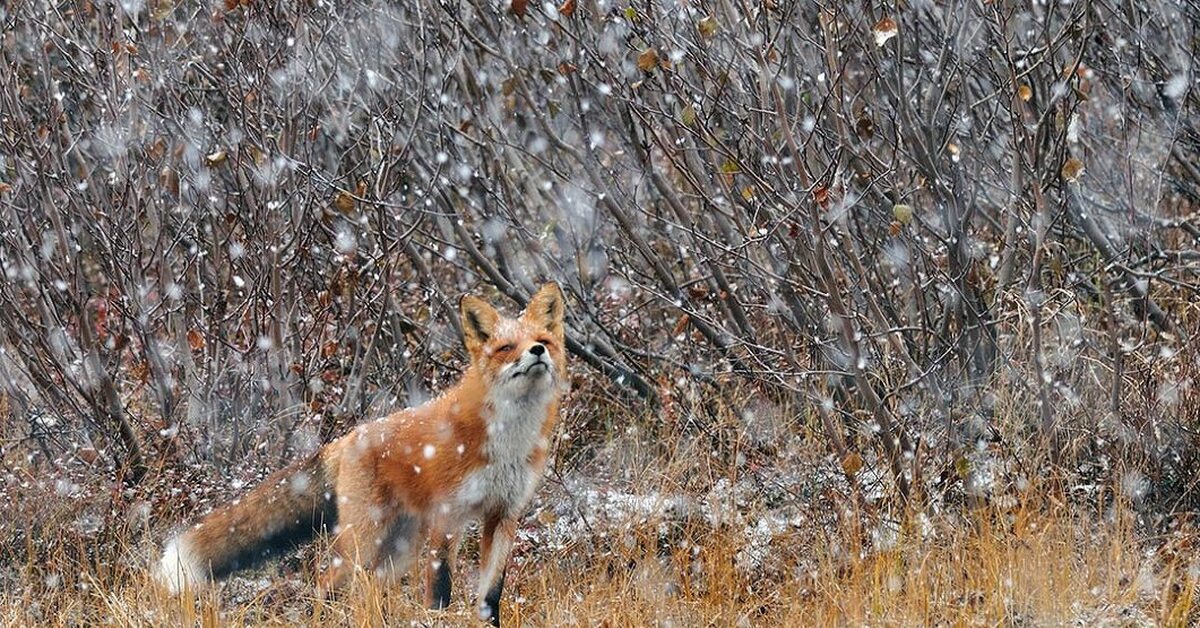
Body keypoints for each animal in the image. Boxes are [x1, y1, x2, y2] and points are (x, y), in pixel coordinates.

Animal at [158, 283, 566, 624]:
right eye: (506, 348)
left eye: (543, 340)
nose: (537, 351)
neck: (507, 441)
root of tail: (346, 438)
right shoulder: (446, 515)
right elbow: (440, 590)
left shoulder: (504, 515)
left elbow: (490, 597)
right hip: (366, 541)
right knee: (329, 581)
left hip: (398, 548)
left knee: (366, 587)